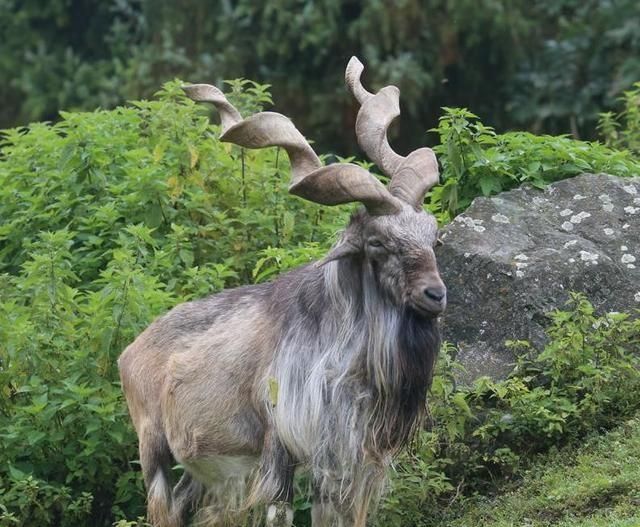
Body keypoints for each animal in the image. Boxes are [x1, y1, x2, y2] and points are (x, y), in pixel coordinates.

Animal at [117, 57, 444, 527]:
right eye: (378, 243)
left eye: (433, 236)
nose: (435, 295)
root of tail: (130, 352)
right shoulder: (280, 446)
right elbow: (280, 512)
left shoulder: (346, 461)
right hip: (153, 450)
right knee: (161, 506)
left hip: (203, 468)